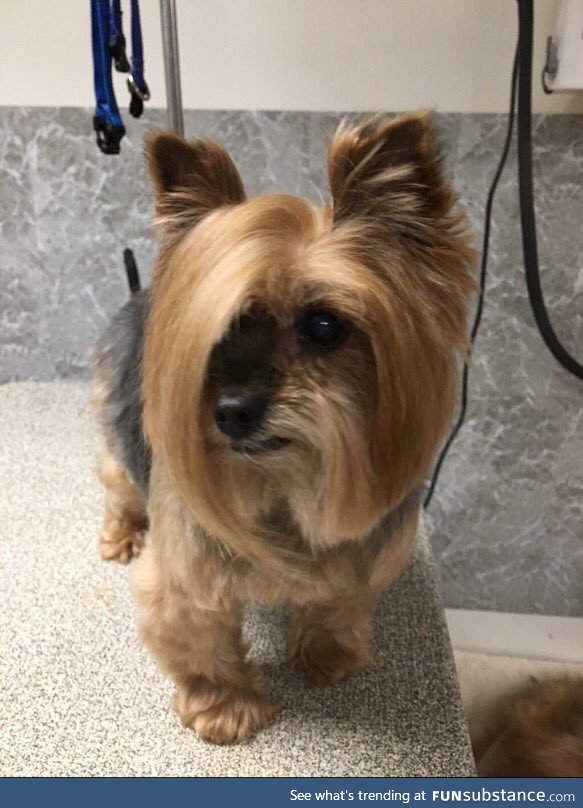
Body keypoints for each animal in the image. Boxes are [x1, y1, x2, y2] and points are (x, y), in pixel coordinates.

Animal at [91, 113, 474, 744]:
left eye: (324, 326)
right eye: (217, 332)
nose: (232, 411)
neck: (283, 482)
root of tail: (140, 291)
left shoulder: (362, 554)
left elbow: (338, 603)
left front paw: (326, 654)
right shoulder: (184, 575)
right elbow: (201, 640)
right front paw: (226, 707)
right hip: (117, 433)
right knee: (118, 484)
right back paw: (121, 534)